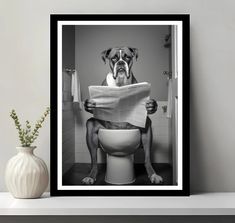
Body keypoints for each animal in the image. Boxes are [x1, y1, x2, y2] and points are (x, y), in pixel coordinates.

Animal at [82, 46, 163, 184]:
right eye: (114, 58)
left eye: (127, 57)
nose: (120, 63)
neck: (120, 83)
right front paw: (89, 105)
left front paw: (152, 105)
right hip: (92, 127)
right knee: (94, 160)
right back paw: (91, 175)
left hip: (144, 129)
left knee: (147, 157)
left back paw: (153, 174)